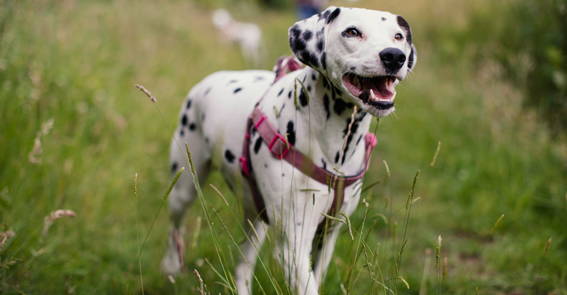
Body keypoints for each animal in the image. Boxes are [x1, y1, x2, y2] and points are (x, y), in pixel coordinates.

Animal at [162, 5, 414, 294]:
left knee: (243, 265)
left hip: (256, 217)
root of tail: (212, 78)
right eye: (352, 32)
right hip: (184, 187)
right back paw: (171, 265)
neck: (335, 149)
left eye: (398, 36)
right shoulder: (293, 247)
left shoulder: (327, 236)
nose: (394, 56)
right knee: (175, 226)